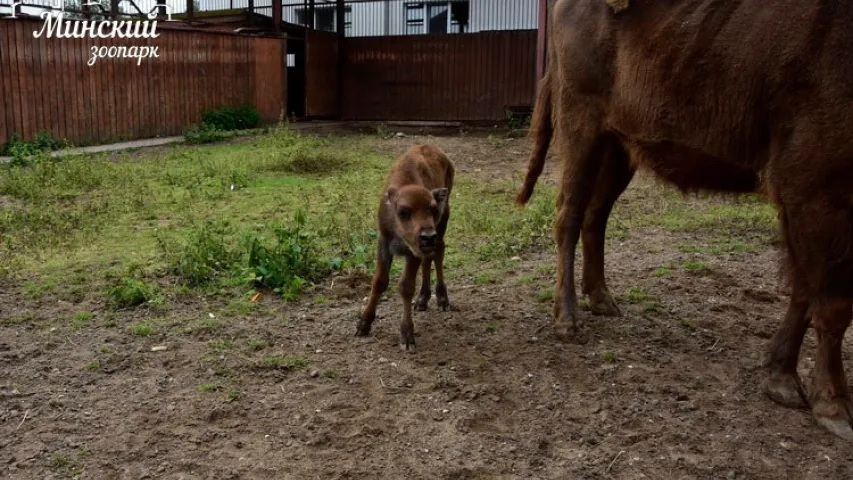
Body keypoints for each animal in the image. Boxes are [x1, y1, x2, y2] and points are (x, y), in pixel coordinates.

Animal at [354, 144, 452, 350]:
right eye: (403, 212)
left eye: (432, 209)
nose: (428, 236)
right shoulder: (384, 244)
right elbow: (379, 281)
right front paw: (363, 324)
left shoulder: (412, 251)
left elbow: (406, 286)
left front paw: (407, 335)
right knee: (429, 258)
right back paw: (422, 300)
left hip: (443, 223)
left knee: (438, 253)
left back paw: (442, 299)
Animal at [516, 0, 852, 440]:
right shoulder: (818, 189)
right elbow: (831, 302)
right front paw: (835, 406)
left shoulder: (806, 204)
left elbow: (804, 291)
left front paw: (782, 378)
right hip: (581, 125)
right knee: (568, 217)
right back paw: (567, 320)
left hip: (619, 145)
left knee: (595, 215)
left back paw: (602, 299)